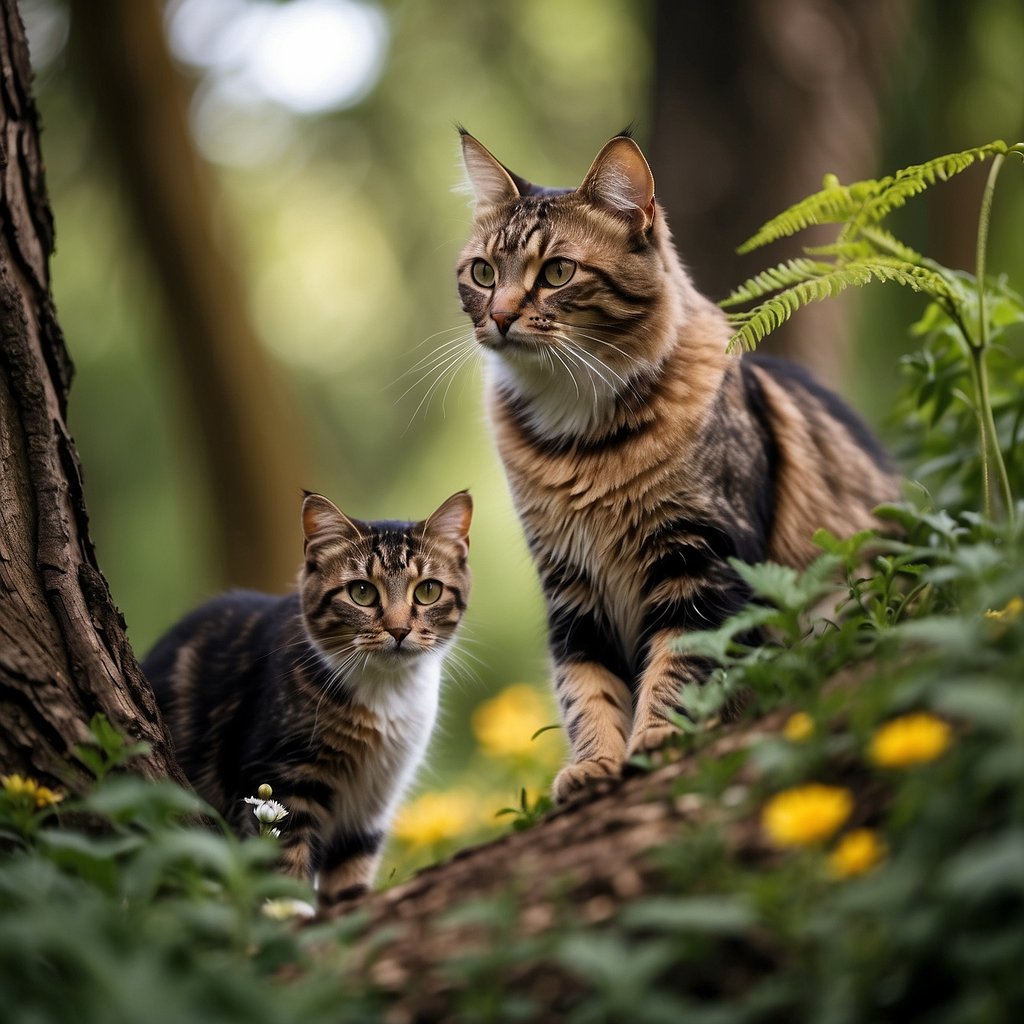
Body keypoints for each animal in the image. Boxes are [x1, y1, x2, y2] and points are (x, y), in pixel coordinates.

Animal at [142, 491, 473, 909]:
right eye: (362, 592)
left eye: (427, 591)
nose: (399, 630)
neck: (387, 694)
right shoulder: (283, 774)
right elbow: (285, 854)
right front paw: (290, 910)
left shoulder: (375, 797)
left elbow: (352, 862)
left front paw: (348, 905)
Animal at [454, 128, 897, 798]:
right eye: (482, 272)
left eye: (557, 272)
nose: (500, 317)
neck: (581, 440)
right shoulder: (570, 584)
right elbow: (585, 687)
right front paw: (593, 764)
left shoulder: (699, 557)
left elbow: (681, 661)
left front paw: (660, 738)